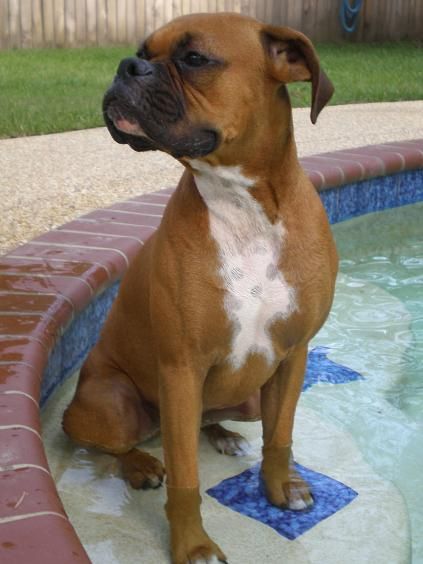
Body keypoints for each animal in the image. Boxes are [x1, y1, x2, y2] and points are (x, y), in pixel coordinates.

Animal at [63, 13, 340, 564]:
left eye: (194, 59)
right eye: (140, 52)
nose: (127, 67)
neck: (241, 205)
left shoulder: (294, 355)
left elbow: (281, 436)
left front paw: (280, 486)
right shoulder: (181, 369)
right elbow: (185, 482)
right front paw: (193, 545)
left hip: (247, 394)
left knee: (210, 421)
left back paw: (222, 433)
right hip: (113, 406)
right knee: (116, 446)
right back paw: (142, 465)